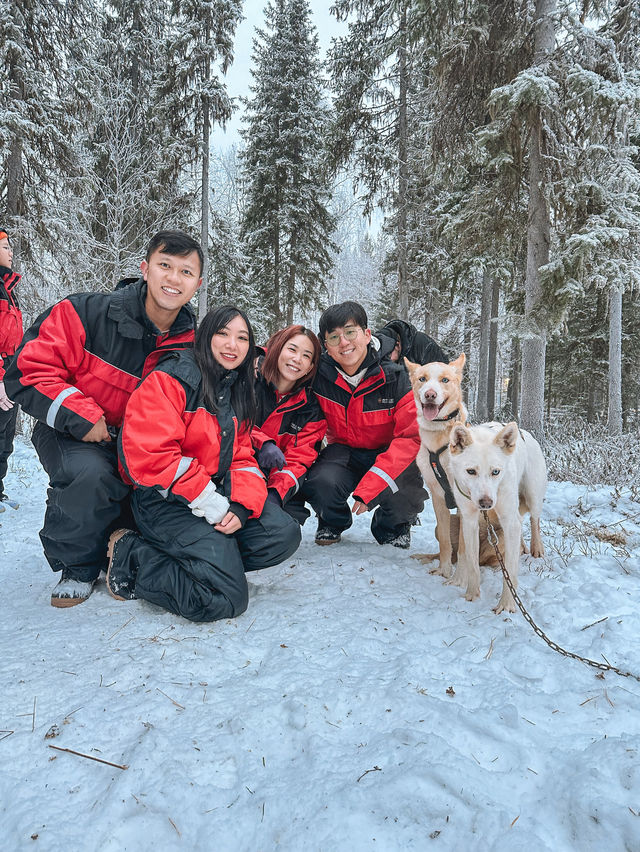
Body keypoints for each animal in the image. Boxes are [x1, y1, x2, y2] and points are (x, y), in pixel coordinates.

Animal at [448, 422, 548, 612]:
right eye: (470, 471)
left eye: (495, 471)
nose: (486, 503)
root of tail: (526, 434)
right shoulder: (470, 521)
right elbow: (472, 563)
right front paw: (472, 595)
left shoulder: (509, 520)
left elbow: (509, 570)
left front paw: (507, 604)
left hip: (533, 497)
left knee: (534, 521)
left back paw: (536, 548)